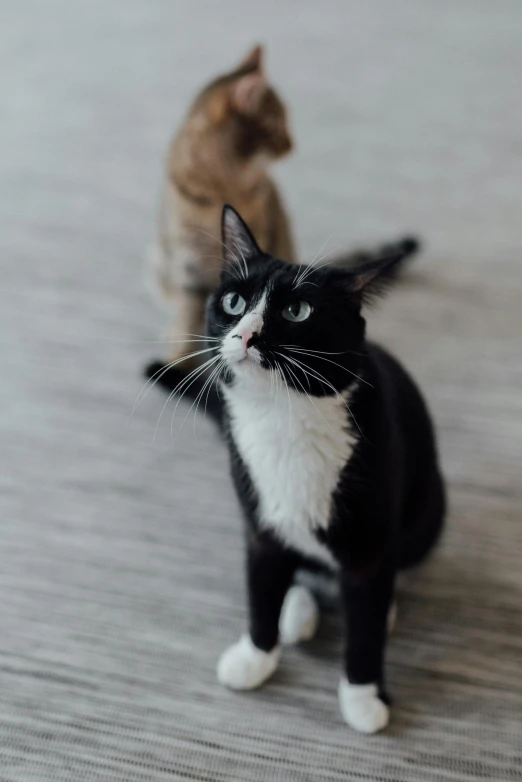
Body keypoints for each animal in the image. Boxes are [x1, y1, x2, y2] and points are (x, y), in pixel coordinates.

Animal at [148, 205, 444, 732]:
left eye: (297, 312)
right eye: (232, 301)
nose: (245, 334)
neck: (282, 420)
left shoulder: (369, 537)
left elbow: (365, 622)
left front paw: (363, 698)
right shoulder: (260, 522)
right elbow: (261, 587)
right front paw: (255, 657)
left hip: (430, 507)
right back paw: (297, 611)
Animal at [151, 46, 296, 368]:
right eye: (276, 124)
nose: (292, 145)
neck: (221, 190)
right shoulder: (187, 266)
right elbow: (189, 320)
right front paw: (180, 359)